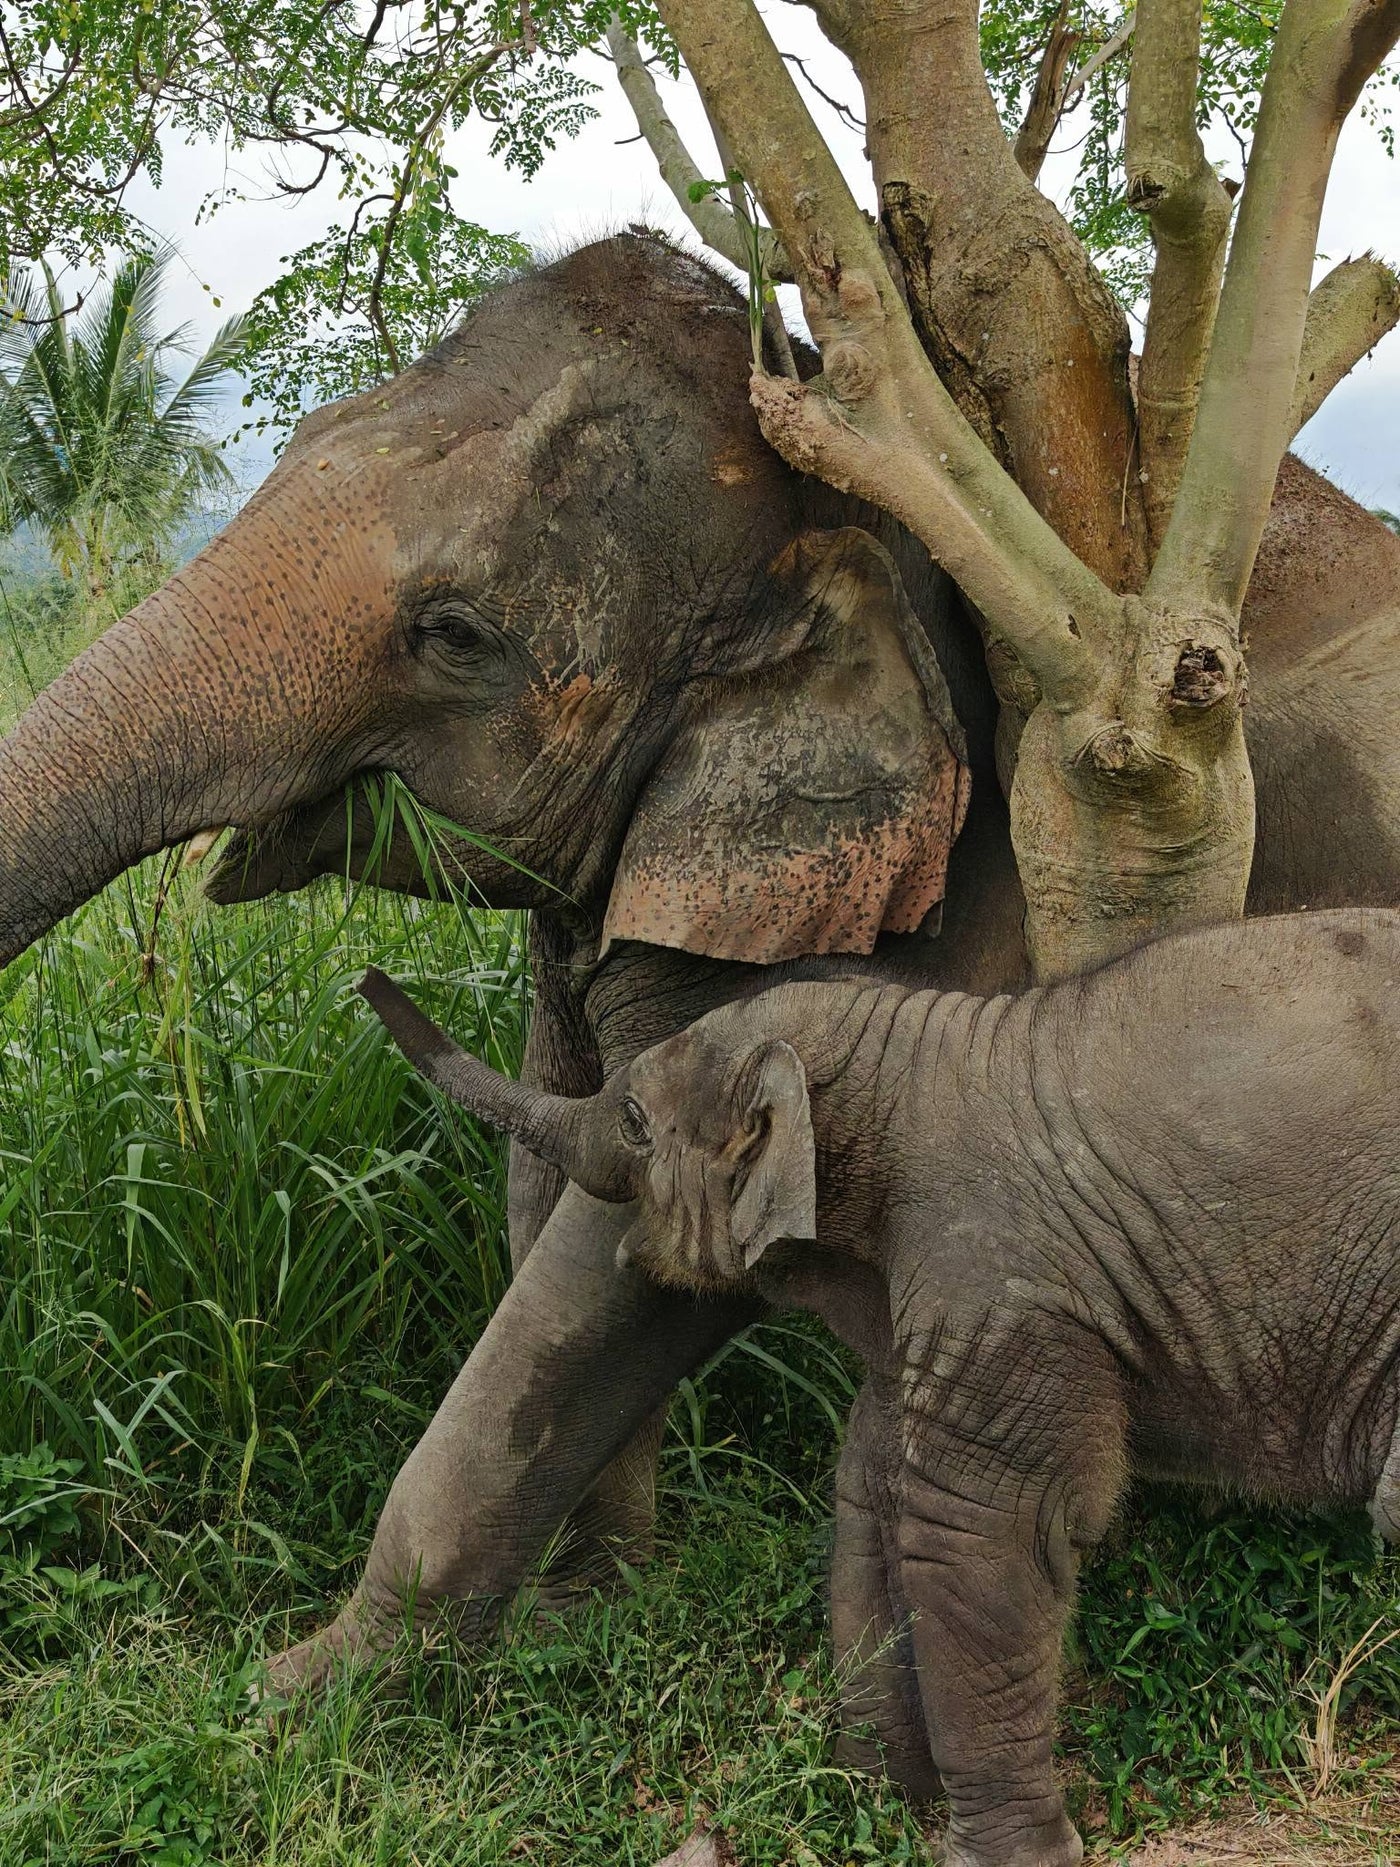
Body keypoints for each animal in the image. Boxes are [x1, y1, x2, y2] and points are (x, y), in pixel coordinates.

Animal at [3, 230, 1400, 1694]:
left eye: (454, 632)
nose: (366, 990)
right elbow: (559, 1174)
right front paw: (582, 1607)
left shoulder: (936, 906)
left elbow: (612, 1257)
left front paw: (303, 1691)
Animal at [357, 907, 1400, 1867]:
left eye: (635, 1123)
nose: (367, 975)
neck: (908, 1043)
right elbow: (870, 1495)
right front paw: (874, 1798)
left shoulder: (994, 1287)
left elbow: (977, 1531)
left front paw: (993, 1855)